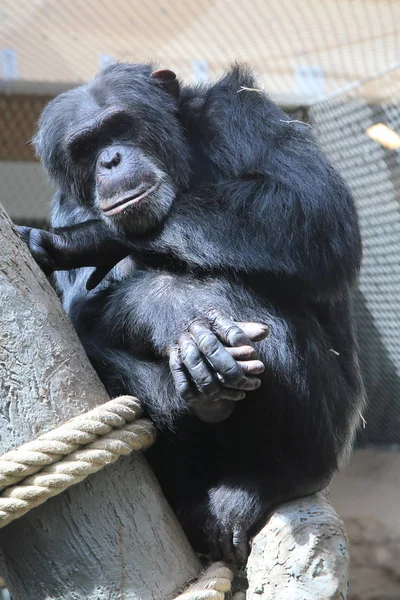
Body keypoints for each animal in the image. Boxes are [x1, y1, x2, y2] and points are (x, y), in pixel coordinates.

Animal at [18, 63, 364, 564]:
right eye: (84, 148)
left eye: (119, 126)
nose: (110, 160)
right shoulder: (64, 206)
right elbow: (77, 319)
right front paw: (193, 341)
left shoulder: (242, 111)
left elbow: (311, 206)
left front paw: (90, 237)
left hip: (328, 440)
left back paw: (264, 481)